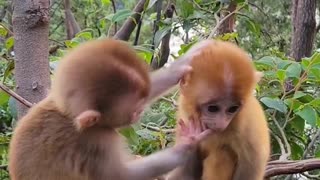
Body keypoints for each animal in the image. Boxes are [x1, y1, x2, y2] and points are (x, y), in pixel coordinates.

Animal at [8, 39, 212, 180]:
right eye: (136, 111)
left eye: (142, 104)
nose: (139, 116)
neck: (68, 114)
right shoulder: (96, 141)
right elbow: (121, 176)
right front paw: (186, 144)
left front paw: (185, 61)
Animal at [166, 40, 272, 180]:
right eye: (213, 108)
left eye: (233, 109)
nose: (221, 124)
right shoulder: (186, 116)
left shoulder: (247, 123)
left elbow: (253, 163)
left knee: (222, 153)